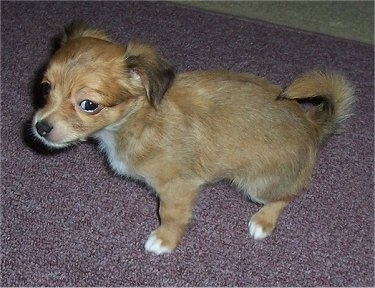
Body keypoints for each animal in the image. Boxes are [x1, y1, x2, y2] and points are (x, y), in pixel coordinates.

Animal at [32, 24, 356, 254]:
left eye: (89, 105)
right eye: (45, 88)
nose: (40, 127)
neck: (137, 119)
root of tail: (311, 124)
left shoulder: (178, 187)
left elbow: (171, 215)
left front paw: (164, 240)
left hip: (257, 185)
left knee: (288, 195)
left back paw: (263, 221)